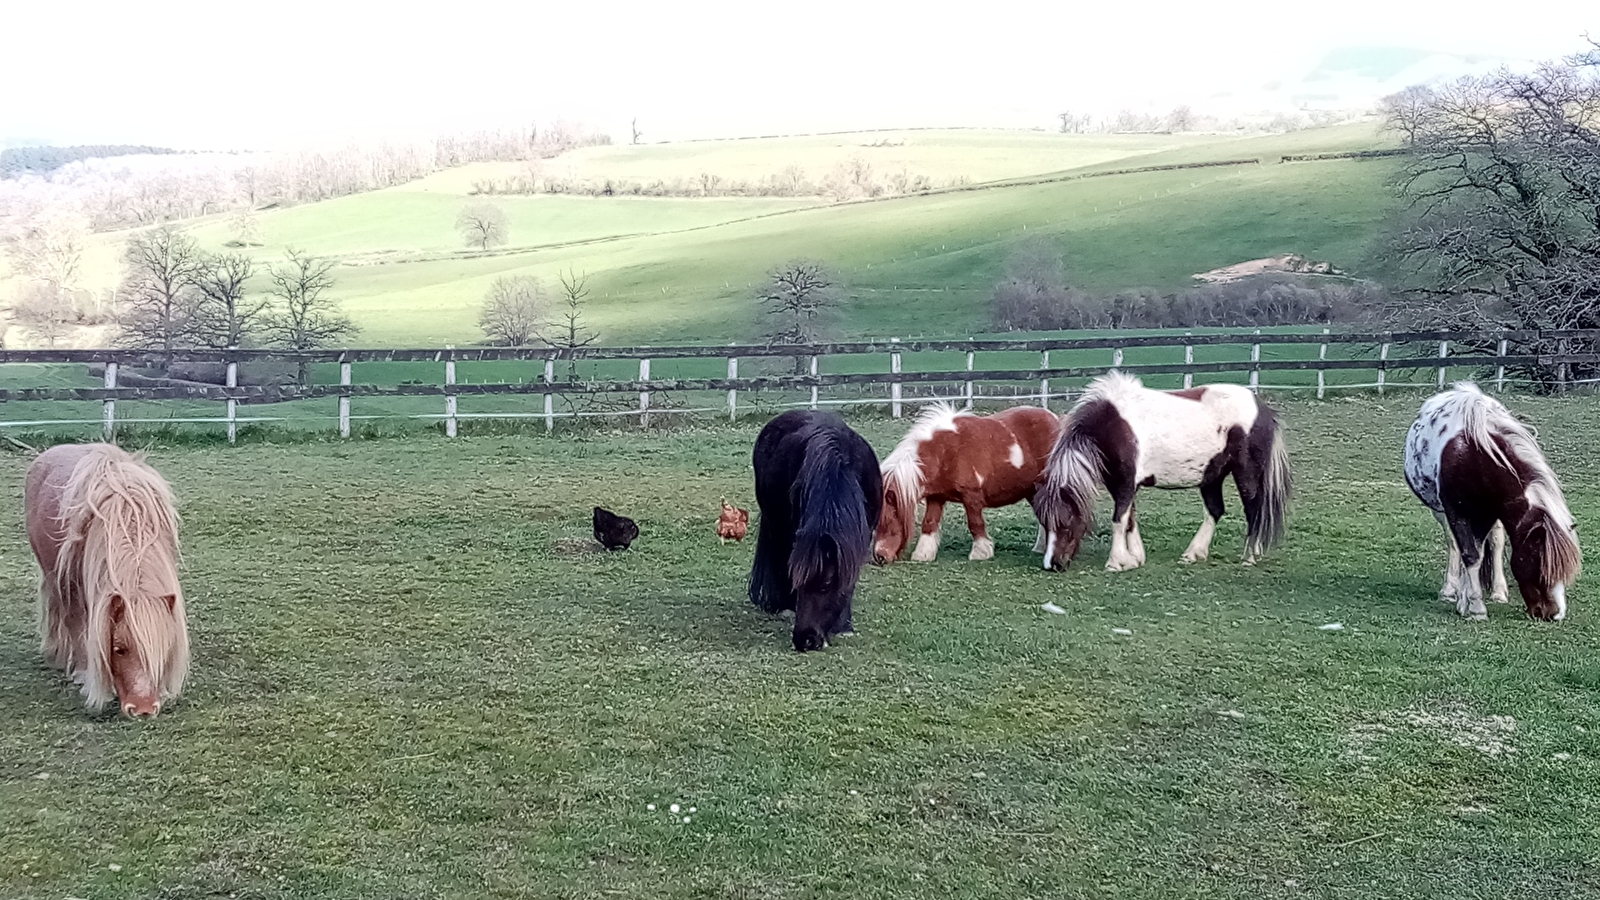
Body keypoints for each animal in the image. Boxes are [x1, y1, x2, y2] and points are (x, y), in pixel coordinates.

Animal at [24, 441, 188, 714]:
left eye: (164, 648)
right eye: (119, 649)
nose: (143, 710)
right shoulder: (74, 588)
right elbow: (78, 628)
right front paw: (84, 675)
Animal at [876, 398, 1062, 560]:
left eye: (889, 522)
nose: (879, 557)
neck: (945, 452)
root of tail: (1056, 420)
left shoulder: (972, 496)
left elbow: (975, 523)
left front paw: (981, 552)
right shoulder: (936, 497)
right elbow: (929, 523)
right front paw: (923, 554)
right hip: (1032, 491)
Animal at [1030, 369, 1292, 566]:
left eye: (1065, 523)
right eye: (1044, 524)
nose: (1054, 564)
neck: (1112, 425)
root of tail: (1262, 408)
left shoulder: (1125, 482)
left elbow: (1119, 519)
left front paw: (1116, 562)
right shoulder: (1119, 483)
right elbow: (1129, 518)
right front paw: (1135, 558)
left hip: (1246, 473)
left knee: (1253, 509)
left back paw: (1249, 555)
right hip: (1212, 475)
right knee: (1215, 510)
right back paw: (1194, 553)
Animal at [1401, 381, 1574, 621]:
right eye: (1538, 564)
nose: (1555, 614)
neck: (1472, 454)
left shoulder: (1489, 514)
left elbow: (1480, 552)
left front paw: (1470, 601)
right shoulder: (1457, 512)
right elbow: (1469, 554)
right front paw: (1475, 607)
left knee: (1495, 542)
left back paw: (1497, 592)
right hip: (1442, 512)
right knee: (1454, 545)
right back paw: (1450, 590)